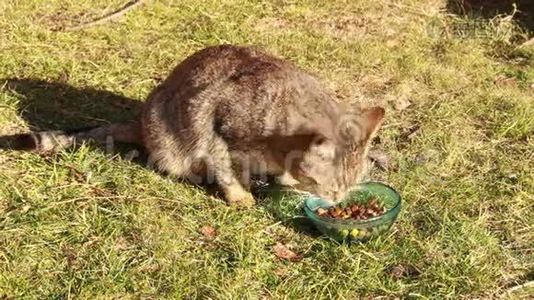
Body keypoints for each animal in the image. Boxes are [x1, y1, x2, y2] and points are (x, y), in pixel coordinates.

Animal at [1, 44, 386, 207]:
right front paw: (241, 195)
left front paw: (286, 181)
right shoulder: (216, 127)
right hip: (169, 136)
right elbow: (226, 170)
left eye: (349, 186)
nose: (339, 200)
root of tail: (141, 118)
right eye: (332, 187)